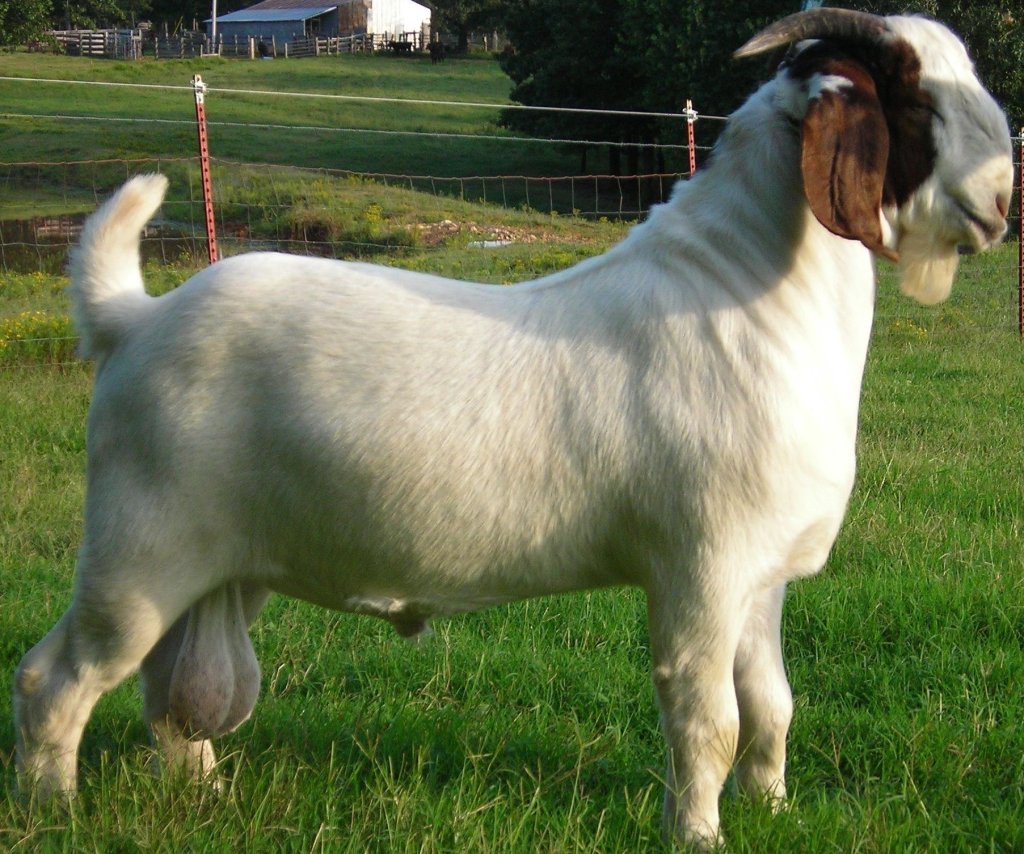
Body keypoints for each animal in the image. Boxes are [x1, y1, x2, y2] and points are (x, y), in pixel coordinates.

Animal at [14, 9, 1013, 848]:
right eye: (915, 96)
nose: (1002, 202)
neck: (741, 293)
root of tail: (134, 319)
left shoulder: (761, 578)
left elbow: (771, 707)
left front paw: (770, 809)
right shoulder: (700, 565)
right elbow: (709, 719)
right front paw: (699, 834)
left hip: (217, 566)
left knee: (168, 693)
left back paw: (206, 794)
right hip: (138, 552)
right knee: (55, 679)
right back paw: (52, 809)